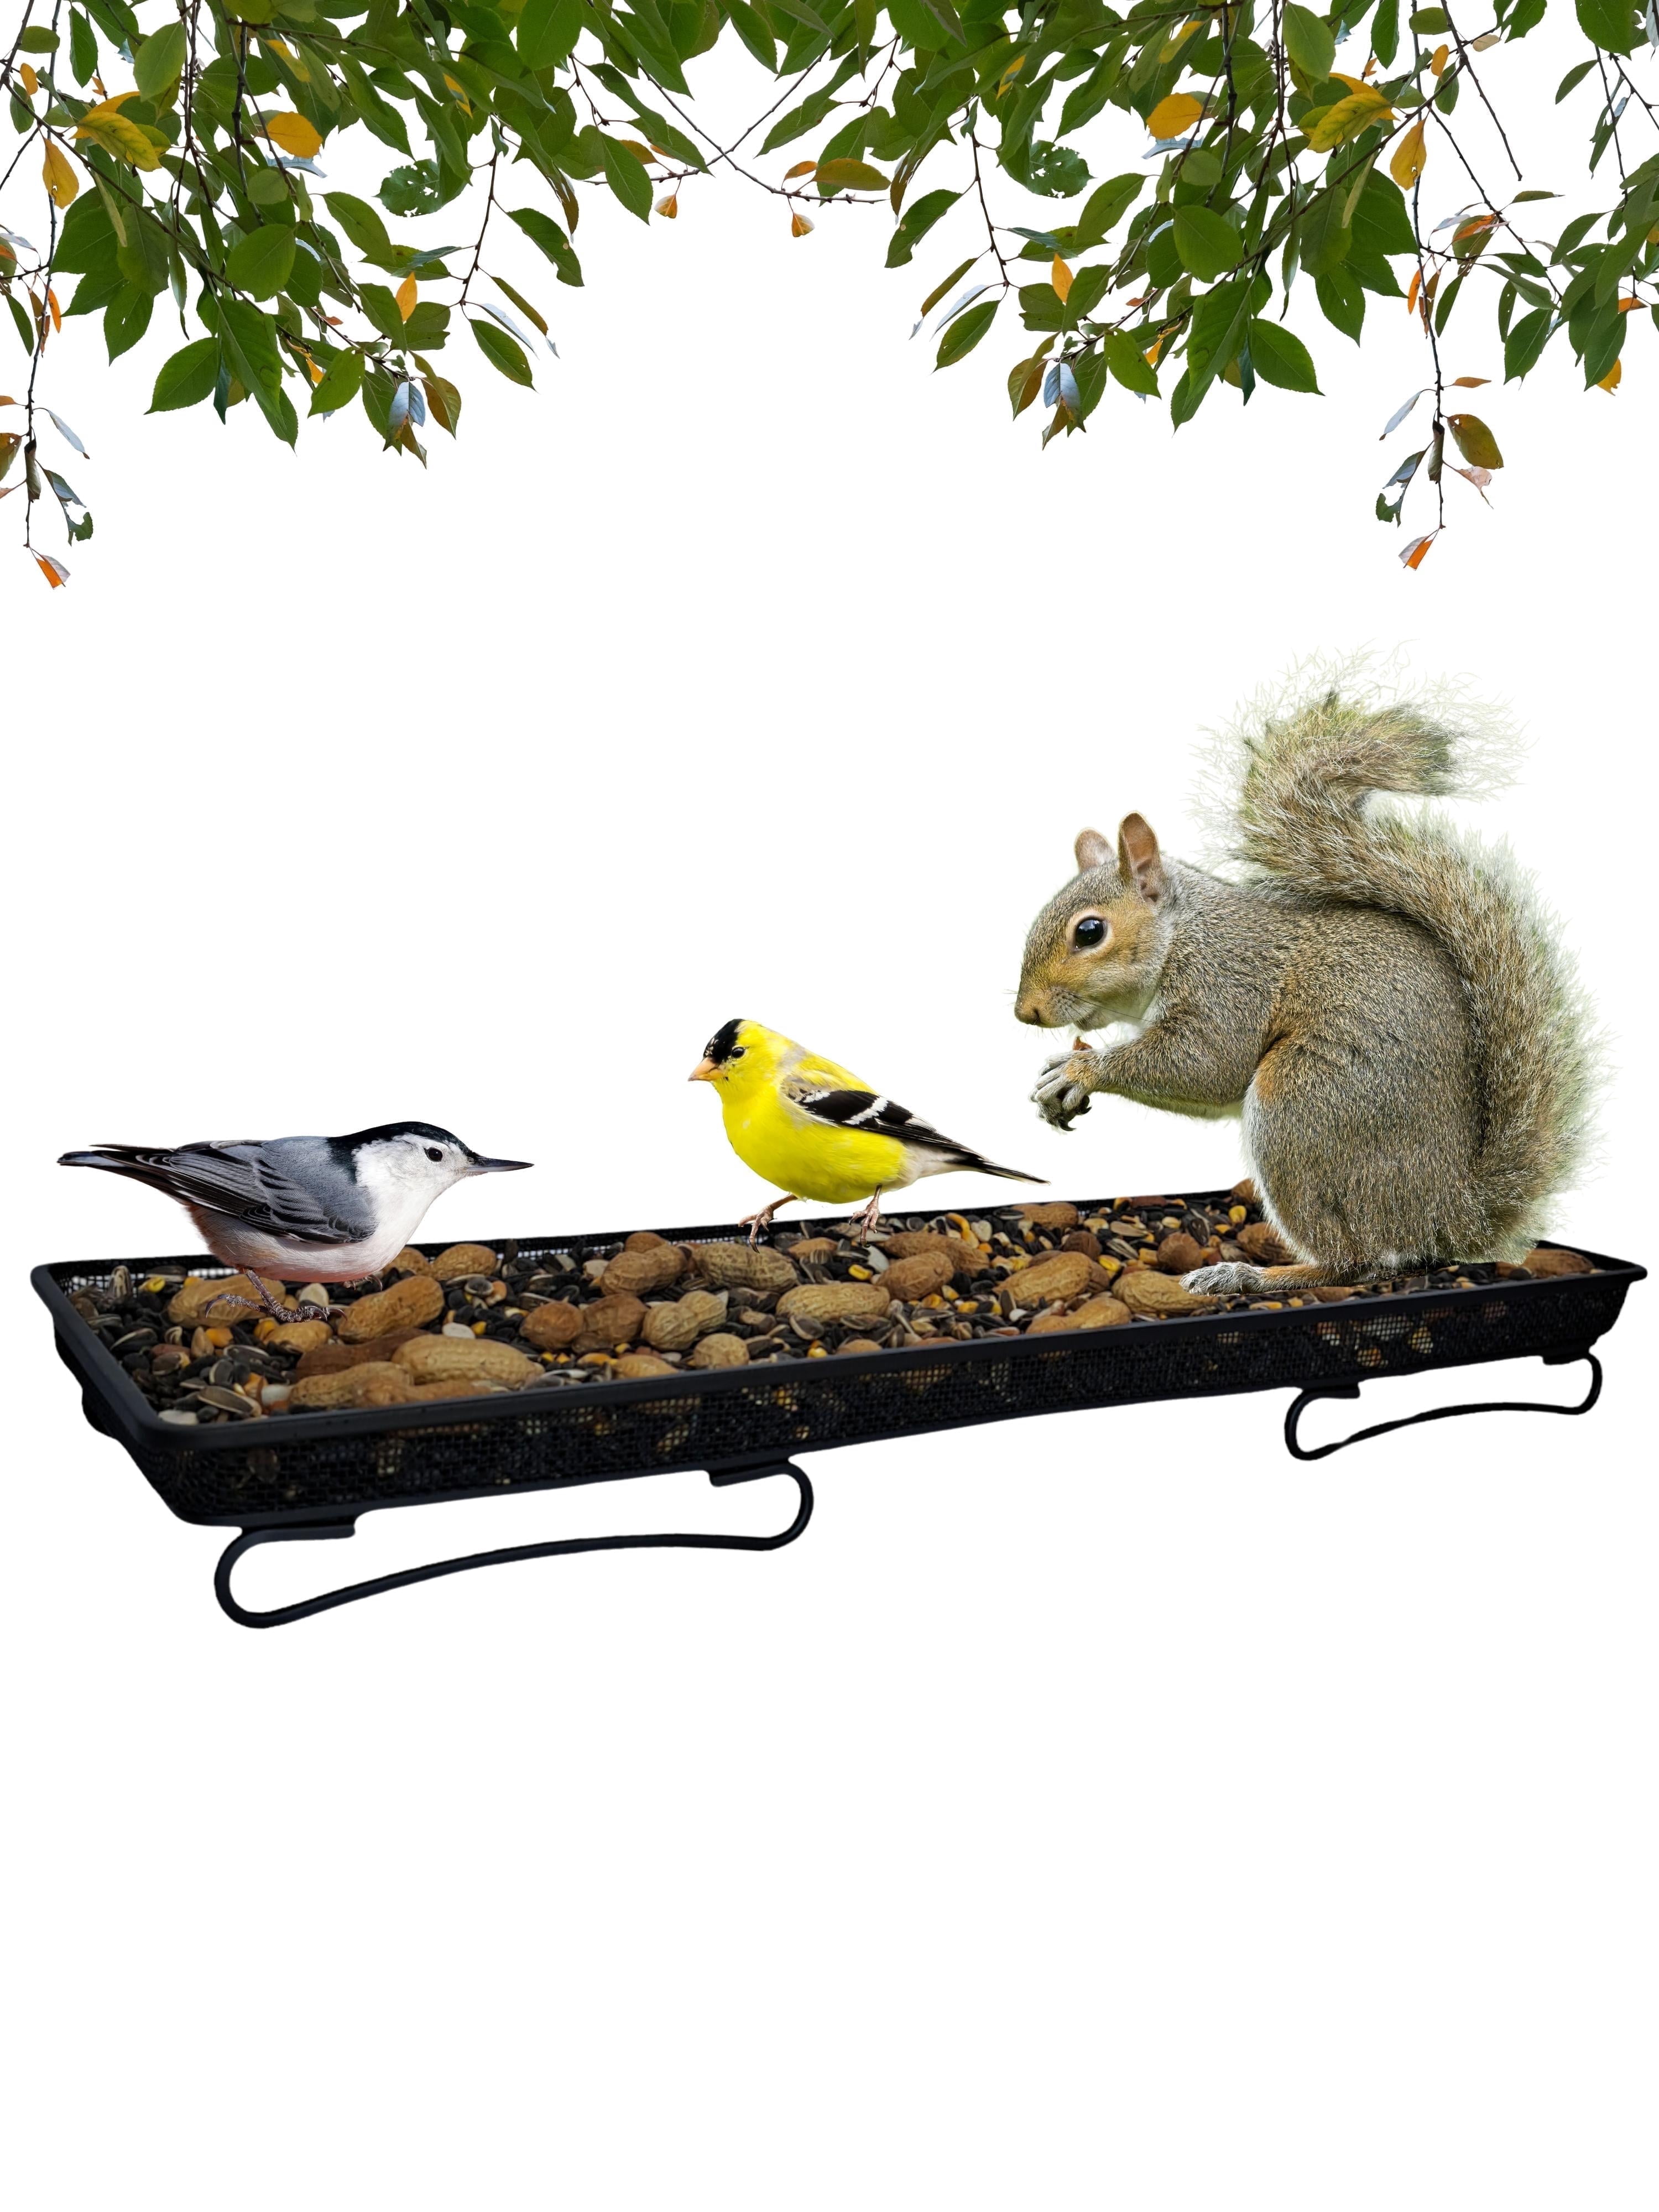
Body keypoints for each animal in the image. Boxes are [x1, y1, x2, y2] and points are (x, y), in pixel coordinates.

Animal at [1013, 681, 1596, 1294]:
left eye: (1090, 931)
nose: (1026, 1012)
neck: (1182, 935)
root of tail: (1450, 1212)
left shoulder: (1229, 981)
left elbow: (1208, 1065)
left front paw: (1081, 1070)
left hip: (1303, 1105)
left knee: (1350, 1262)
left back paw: (1249, 1275)